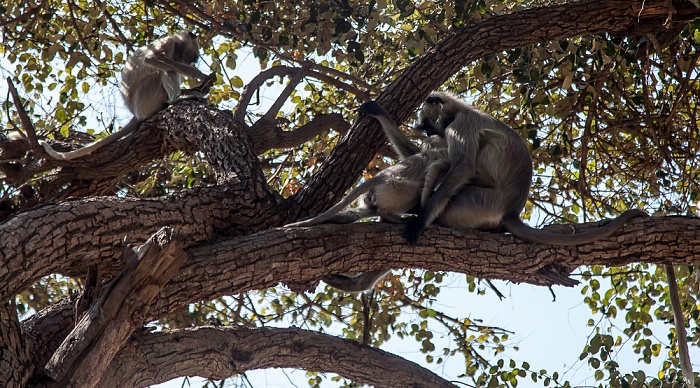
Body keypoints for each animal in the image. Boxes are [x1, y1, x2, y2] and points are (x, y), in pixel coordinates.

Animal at [38, 31, 212, 160]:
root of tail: (135, 112)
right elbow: (152, 60)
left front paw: (201, 87)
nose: (192, 61)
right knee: (163, 70)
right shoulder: (167, 43)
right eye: (192, 56)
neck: (176, 47)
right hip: (145, 99)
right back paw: (176, 98)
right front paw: (198, 75)